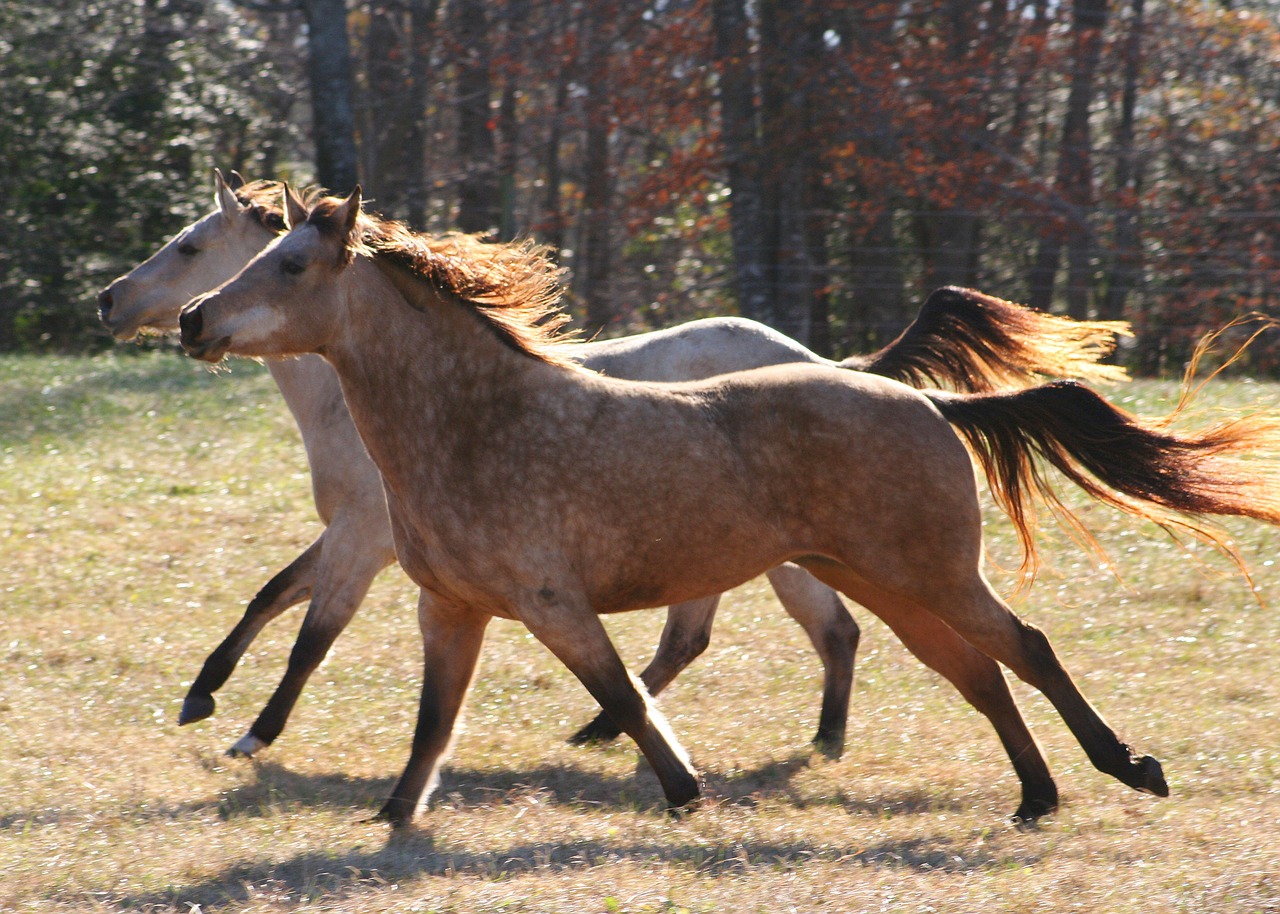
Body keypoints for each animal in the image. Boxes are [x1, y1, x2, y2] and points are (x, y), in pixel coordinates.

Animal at [175, 186, 1280, 824]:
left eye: (289, 263)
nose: (191, 320)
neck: (477, 422)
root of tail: (926, 400)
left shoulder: (548, 602)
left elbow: (623, 692)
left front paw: (681, 788)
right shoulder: (447, 606)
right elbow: (429, 723)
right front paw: (392, 818)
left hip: (927, 573)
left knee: (1026, 649)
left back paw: (1125, 769)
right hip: (878, 581)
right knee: (976, 672)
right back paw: (1036, 797)